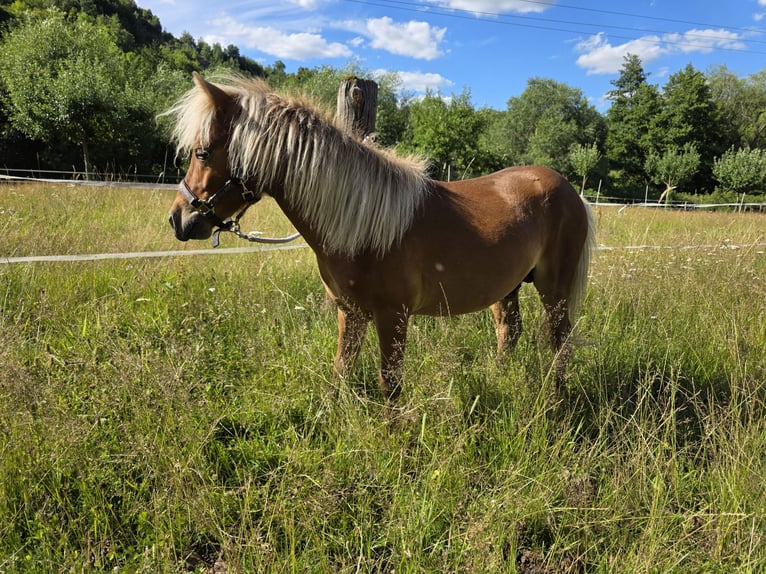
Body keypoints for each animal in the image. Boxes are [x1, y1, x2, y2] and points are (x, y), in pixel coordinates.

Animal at [166, 73, 595, 402]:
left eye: (202, 153)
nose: (178, 220)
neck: (361, 225)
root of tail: (569, 190)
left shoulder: (393, 316)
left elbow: (390, 384)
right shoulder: (350, 312)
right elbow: (341, 370)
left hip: (554, 289)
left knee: (560, 341)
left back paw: (557, 400)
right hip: (508, 287)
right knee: (510, 331)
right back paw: (500, 379)